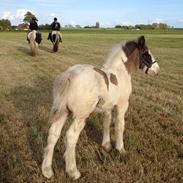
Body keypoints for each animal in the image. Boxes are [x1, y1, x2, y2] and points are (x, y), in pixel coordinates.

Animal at [41, 35, 160, 180]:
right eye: (146, 53)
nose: (157, 70)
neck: (120, 72)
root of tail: (68, 76)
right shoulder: (122, 105)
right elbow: (120, 125)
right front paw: (120, 149)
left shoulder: (107, 107)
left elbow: (106, 123)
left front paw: (106, 145)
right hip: (81, 116)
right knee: (70, 136)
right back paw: (73, 171)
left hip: (63, 111)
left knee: (53, 133)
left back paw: (47, 171)